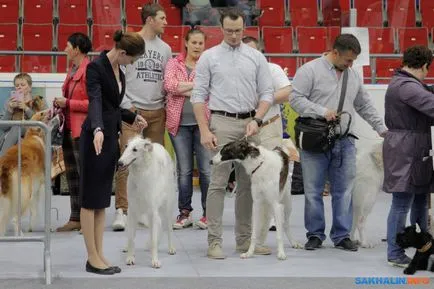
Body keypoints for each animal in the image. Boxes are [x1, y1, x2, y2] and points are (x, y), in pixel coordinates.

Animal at [118, 136, 177, 268]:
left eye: (135, 149)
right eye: (126, 146)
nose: (119, 163)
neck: (140, 175)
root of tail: (159, 146)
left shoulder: (153, 211)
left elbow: (155, 240)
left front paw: (155, 261)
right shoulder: (132, 210)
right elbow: (131, 238)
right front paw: (130, 258)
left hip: (167, 207)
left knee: (169, 229)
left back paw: (171, 248)